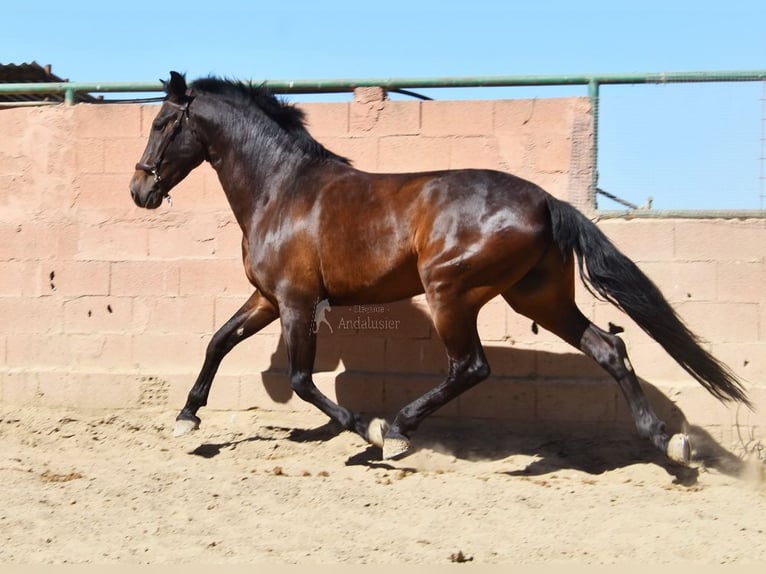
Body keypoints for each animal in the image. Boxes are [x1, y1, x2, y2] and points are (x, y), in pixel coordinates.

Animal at [130, 71, 750, 465]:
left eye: (161, 123)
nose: (139, 191)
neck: (282, 190)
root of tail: (548, 202)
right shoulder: (267, 297)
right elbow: (218, 341)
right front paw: (187, 417)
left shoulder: (297, 302)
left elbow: (302, 381)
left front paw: (367, 430)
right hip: (539, 298)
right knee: (609, 349)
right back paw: (668, 443)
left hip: (451, 291)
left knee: (470, 367)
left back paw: (396, 430)